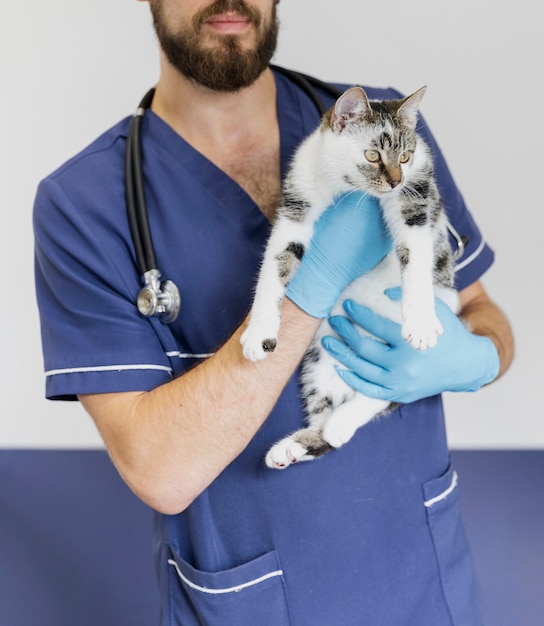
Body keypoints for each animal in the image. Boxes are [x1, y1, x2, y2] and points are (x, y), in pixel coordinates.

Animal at [240, 86, 456, 468]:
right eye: (372, 154)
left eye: (406, 157)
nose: (395, 181)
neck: (346, 188)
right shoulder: (297, 203)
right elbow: (275, 263)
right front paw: (259, 331)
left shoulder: (416, 198)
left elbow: (416, 256)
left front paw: (420, 323)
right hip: (320, 358)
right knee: (330, 417)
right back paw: (297, 445)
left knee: (393, 387)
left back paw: (344, 419)